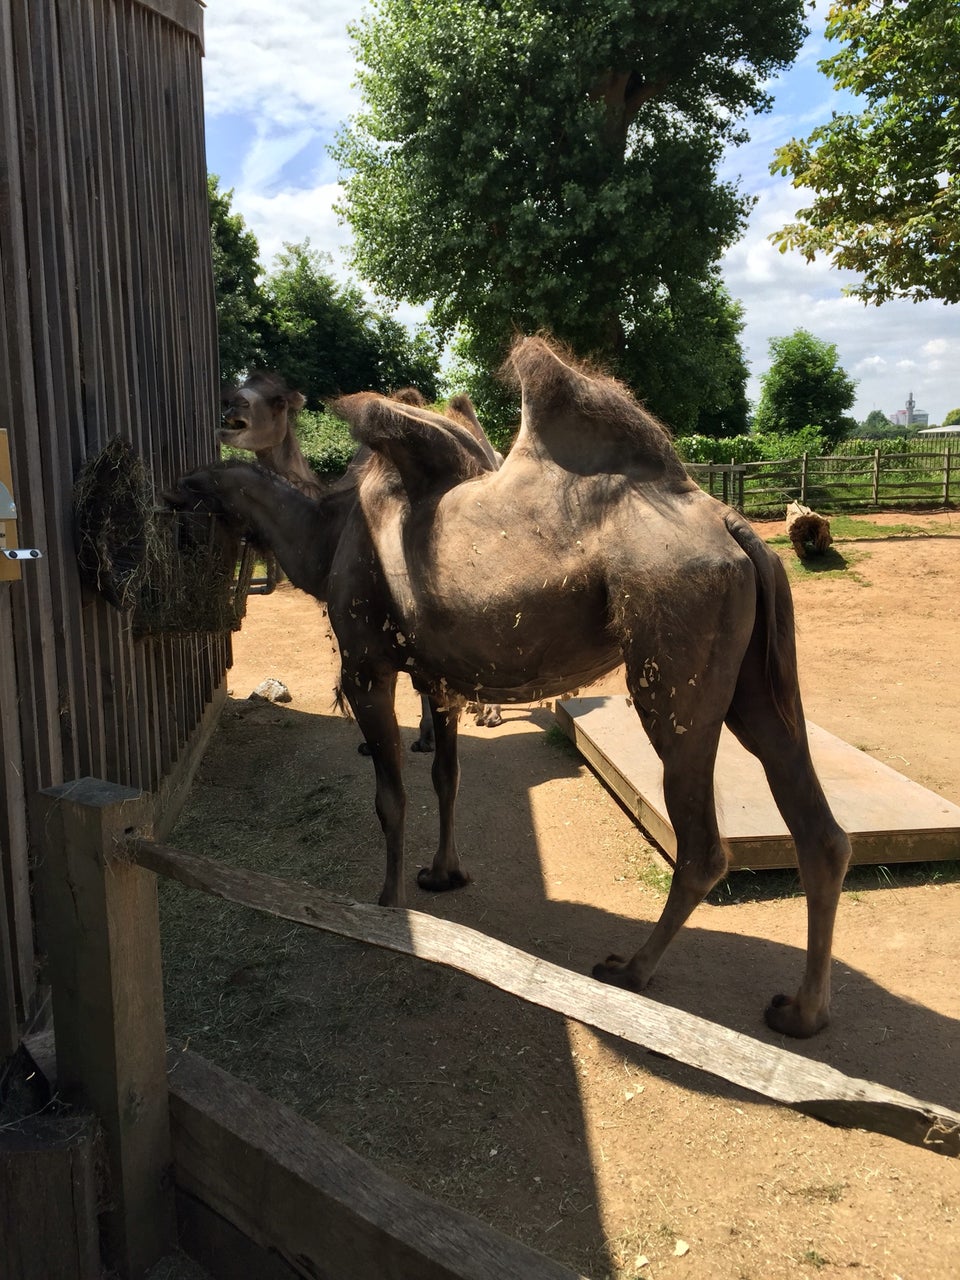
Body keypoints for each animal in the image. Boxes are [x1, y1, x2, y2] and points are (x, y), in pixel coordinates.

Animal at [168, 335, 855, 1034]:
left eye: (276, 398)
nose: (227, 414)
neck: (328, 534)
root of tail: (734, 527)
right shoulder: (437, 676)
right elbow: (447, 777)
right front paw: (442, 874)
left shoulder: (366, 666)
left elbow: (391, 796)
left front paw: (385, 907)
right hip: (752, 679)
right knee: (817, 825)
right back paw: (802, 1011)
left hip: (673, 664)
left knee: (703, 845)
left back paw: (629, 971)